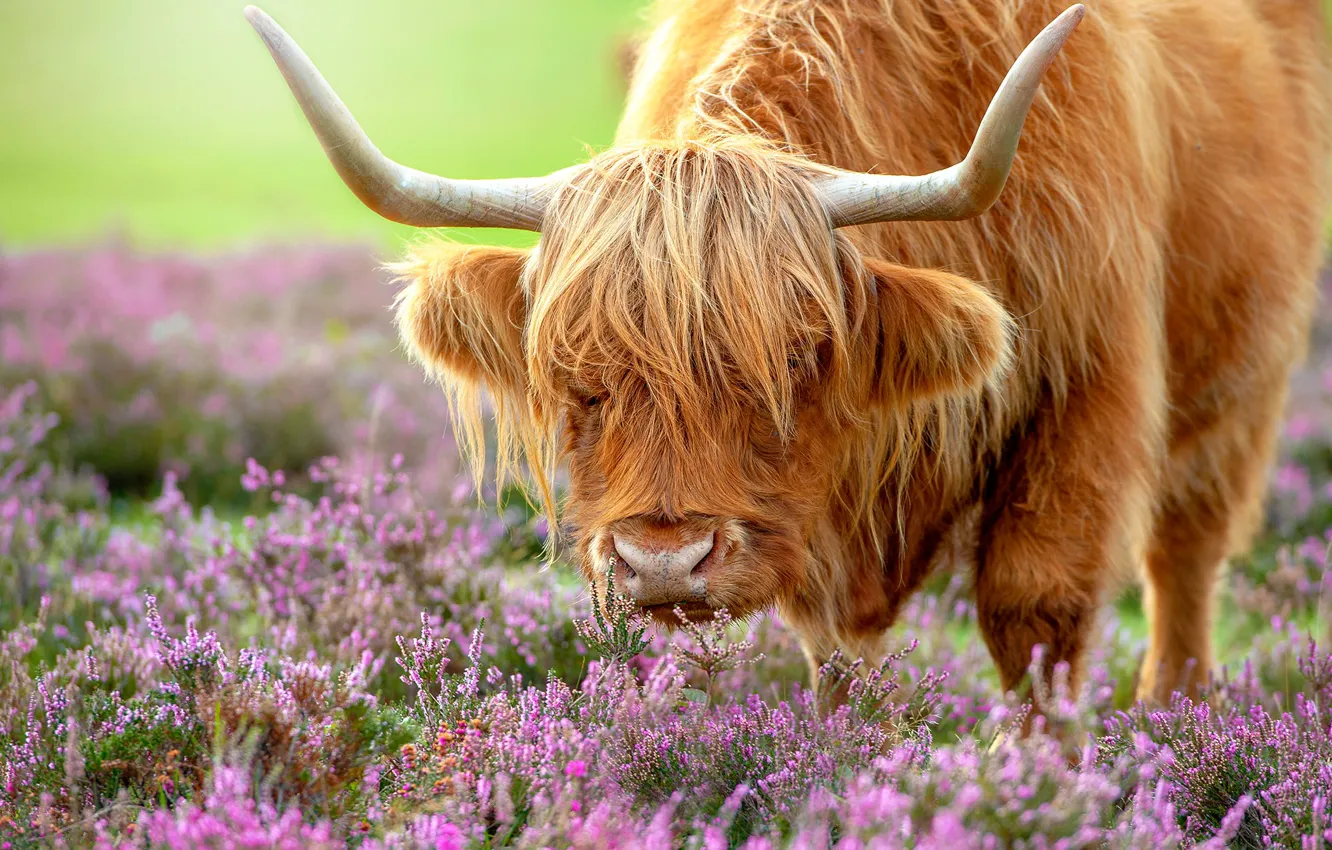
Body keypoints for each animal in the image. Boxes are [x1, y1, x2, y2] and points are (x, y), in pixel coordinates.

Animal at [246, 0, 1332, 703]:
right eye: (575, 377)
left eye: (801, 358)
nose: (664, 560)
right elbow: (839, 653)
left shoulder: (1090, 387)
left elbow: (1036, 612)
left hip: (1244, 379)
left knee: (1185, 557)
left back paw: (1175, 715)